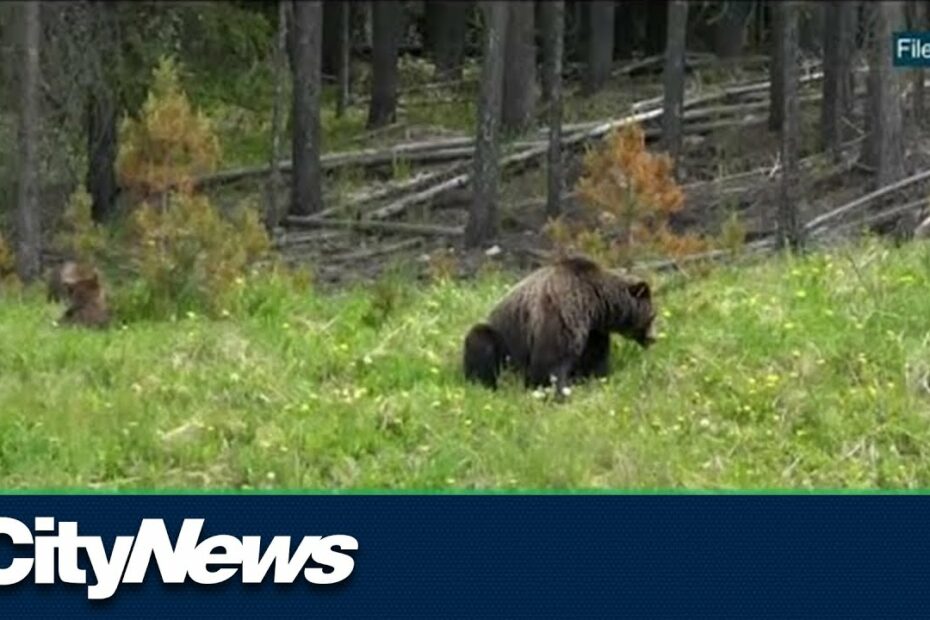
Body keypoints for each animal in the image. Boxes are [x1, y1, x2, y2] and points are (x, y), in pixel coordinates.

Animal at [462, 256, 652, 392]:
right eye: (653, 316)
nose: (653, 338)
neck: (595, 304)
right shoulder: (562, 313)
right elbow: (550, 360)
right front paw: (557, 391)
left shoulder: (592, 331)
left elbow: (594, 359)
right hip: (504, 340)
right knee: (481, 340)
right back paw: (488, 383)